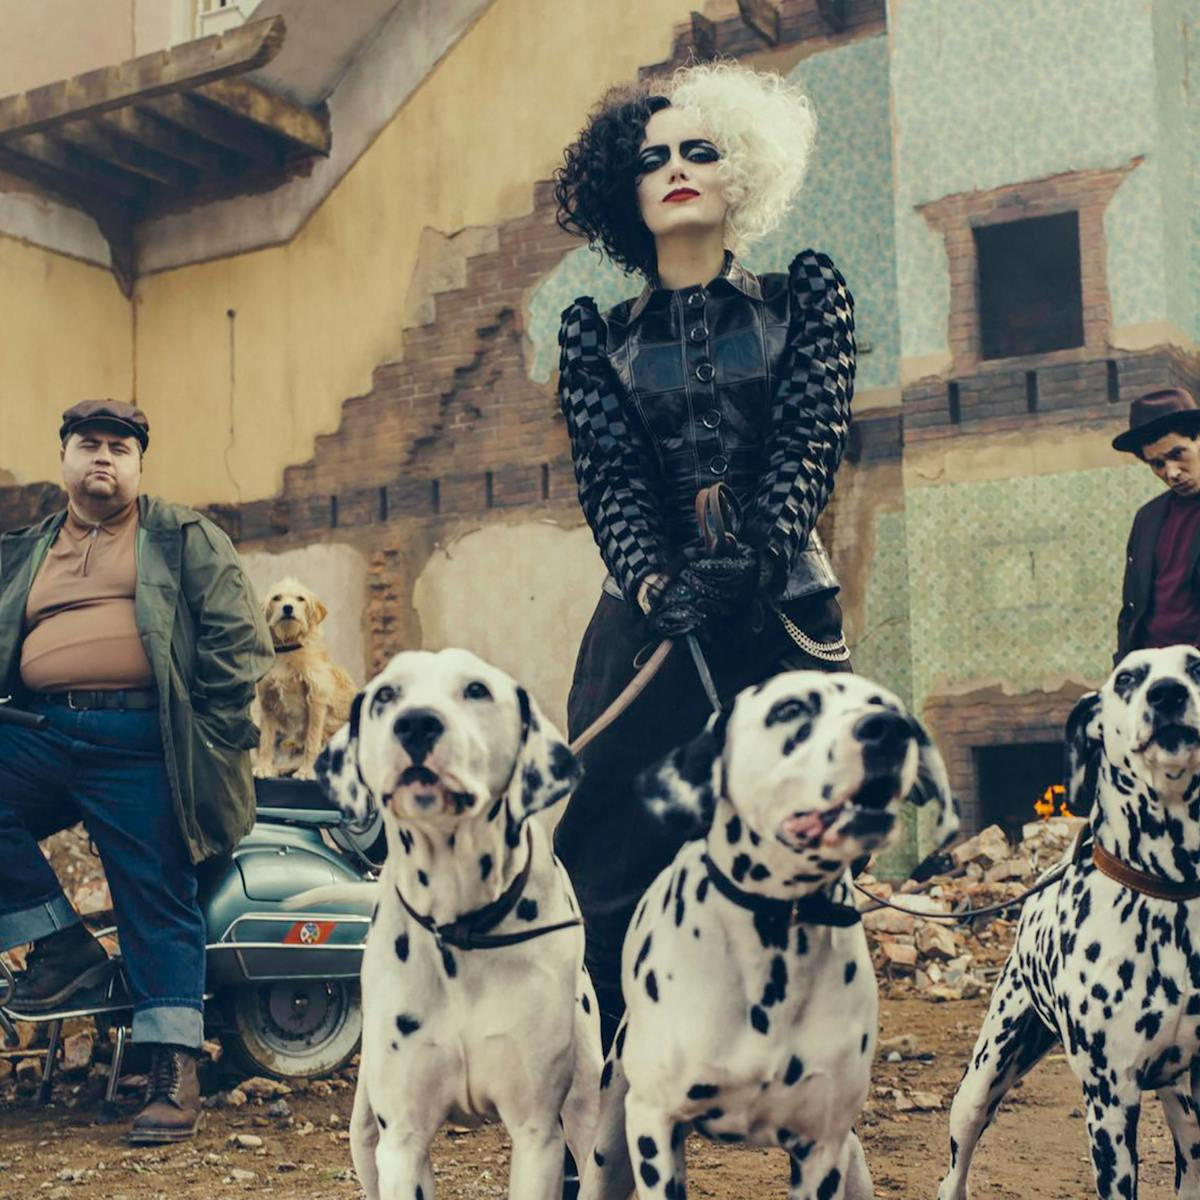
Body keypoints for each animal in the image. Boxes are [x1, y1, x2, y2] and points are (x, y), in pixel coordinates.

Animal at [254, 578, 355, 777]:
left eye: (300, 599)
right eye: (277, 598)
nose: (288, 608)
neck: (288, 649)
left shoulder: (316, 699)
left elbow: (312, 739)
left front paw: (307, 771)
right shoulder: (267, 701)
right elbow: (266, 740)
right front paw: (263, 767)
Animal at [316, 648, 604, 1200]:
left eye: (476, 690)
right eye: (387, 694)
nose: (416, 724)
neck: (459, 924)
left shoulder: (538, 1135)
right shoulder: (402, 1141)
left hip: (588, 1116)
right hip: (365, 1137)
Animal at [578, 672, 955, 1200]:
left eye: (888, 705)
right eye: (790, 709)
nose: (888, 729)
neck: (777, 934)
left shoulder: (821, 1148)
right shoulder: (656, 1126)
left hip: (852, 1163)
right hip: (610, 1148)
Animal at [940, 648, 1200, 1200]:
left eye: (1196, 667)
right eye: (1127, 678)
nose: (1168, 693)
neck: (1169, 895)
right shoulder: (1110, 1104)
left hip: (1183, 1107)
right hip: (980, 1085)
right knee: (953, 1170)